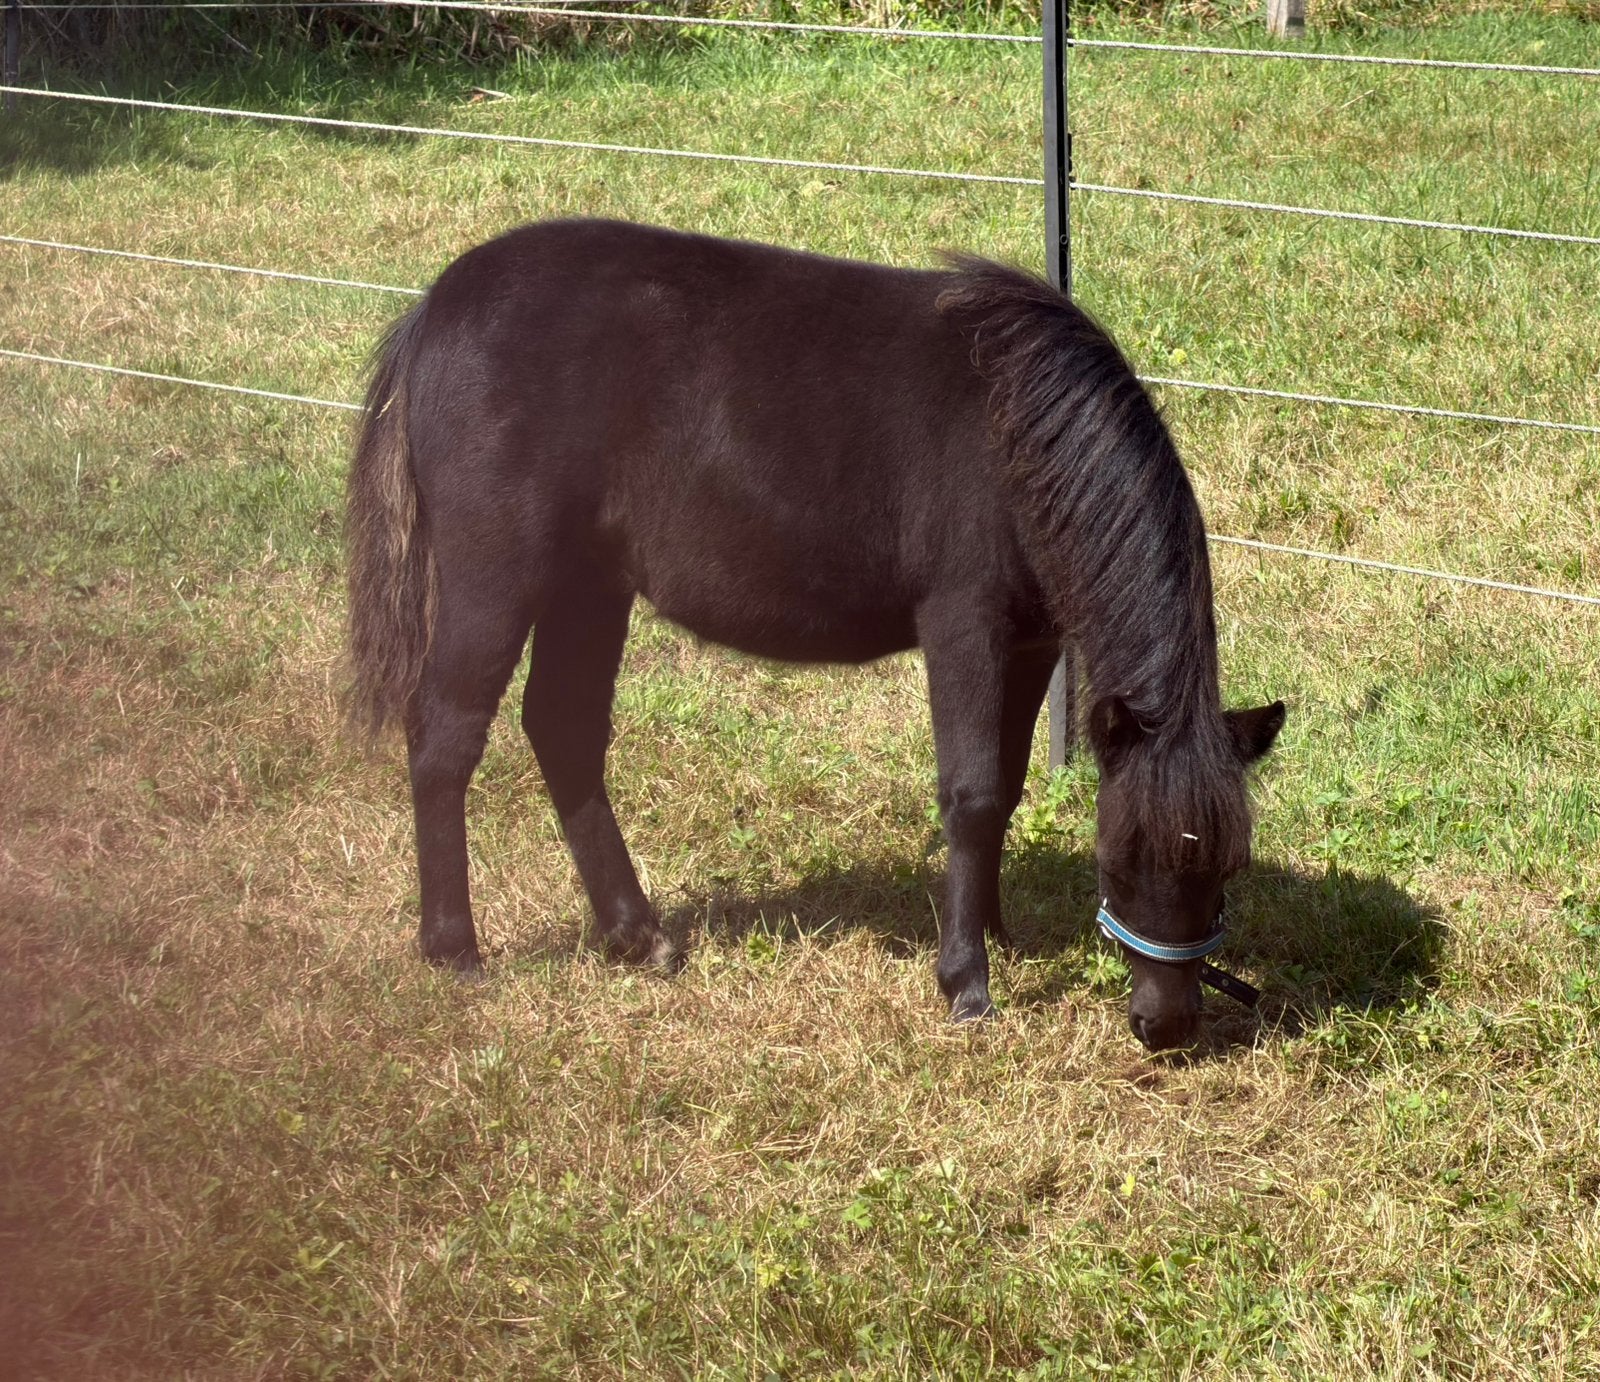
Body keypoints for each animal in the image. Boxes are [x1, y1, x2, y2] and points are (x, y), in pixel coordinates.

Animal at [345, 218, 1284, 1052]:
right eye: (1120, 859)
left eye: (1227, 868)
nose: (1168, 1028)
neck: (1017, 423)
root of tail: (437, 309)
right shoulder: (964, 624)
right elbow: (973, 794)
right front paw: (966, 981)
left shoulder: (1031, 643)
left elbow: (1009, 785)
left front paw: (996, 932)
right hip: (495, 582)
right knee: (447, 739)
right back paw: (454, 947)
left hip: (589, 587)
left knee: (563, 731)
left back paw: (637, 935)